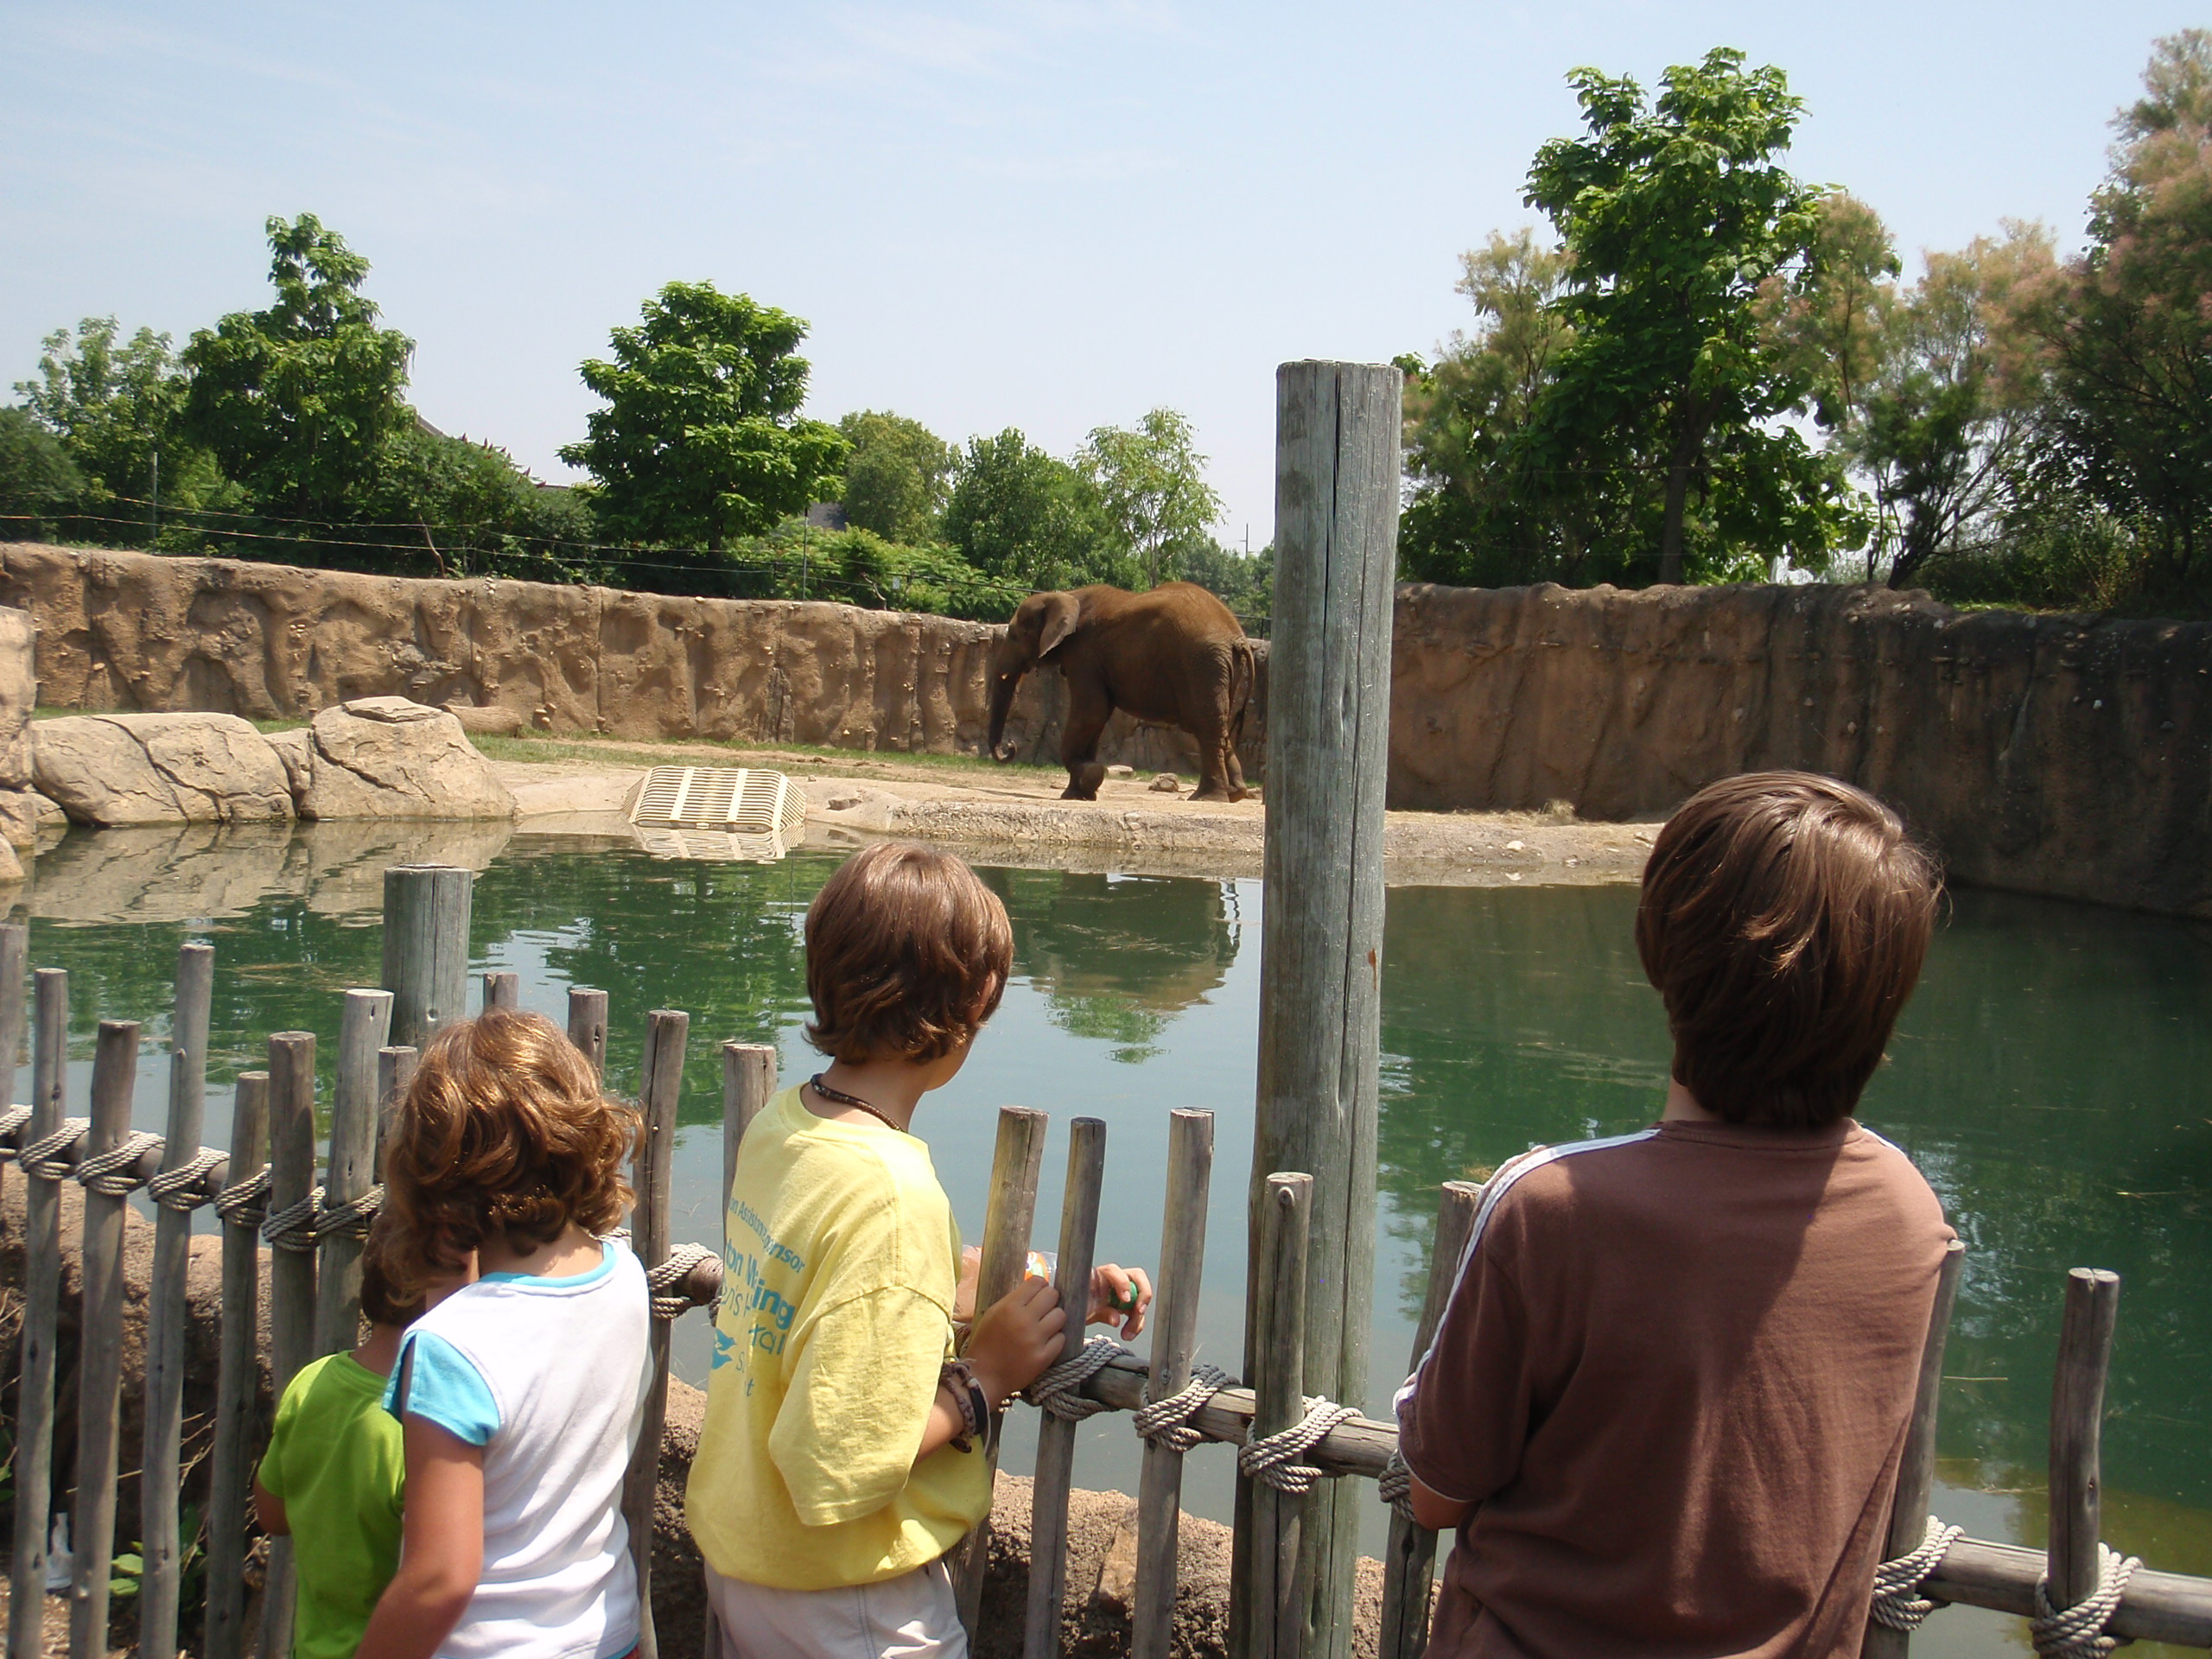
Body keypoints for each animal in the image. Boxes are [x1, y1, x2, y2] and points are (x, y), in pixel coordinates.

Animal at [985, 583, 1257, 802]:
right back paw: (1235, 794)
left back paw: (1207, 798)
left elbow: (1090, 713)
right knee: (1218, 727)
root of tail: (1238, 638)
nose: (1010, 746)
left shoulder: (1083, 650)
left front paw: (1088, 777)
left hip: (1201, 665)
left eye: (1014, 635)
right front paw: (1080, 792)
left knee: (1205, 725)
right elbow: (1098, 717)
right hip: (1221, 669)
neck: (1065, 595)